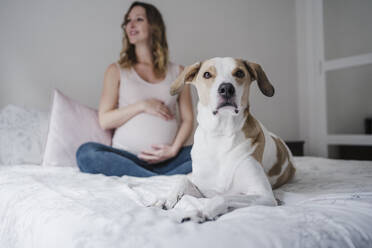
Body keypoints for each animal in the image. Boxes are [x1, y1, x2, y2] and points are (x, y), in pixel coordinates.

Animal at [164, 58, 294, 223]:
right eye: (207, 74)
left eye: (239, 73)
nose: (226, 88)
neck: (220, 135)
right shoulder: (203, 187)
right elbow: (183, 180)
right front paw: (166, 199)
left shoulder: (264, 195)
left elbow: (223, 197)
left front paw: (202, 212)